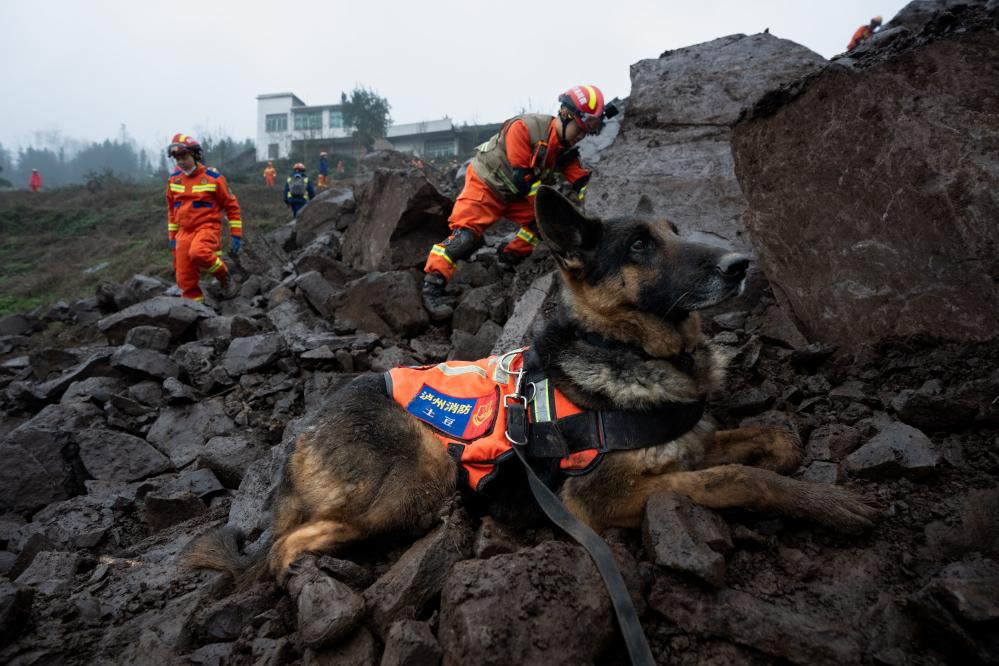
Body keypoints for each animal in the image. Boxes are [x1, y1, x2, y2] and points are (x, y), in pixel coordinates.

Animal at [186, 184, 876, 580]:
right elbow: (737, 477)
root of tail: (302, 434)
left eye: (675, 234)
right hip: (415, 480)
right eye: (639, 247)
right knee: (283, 549)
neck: (625, 348)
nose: (741, 265)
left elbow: (772, 435)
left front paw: (789, 460)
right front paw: (830, 505)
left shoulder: (687, 439)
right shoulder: (601, 497)